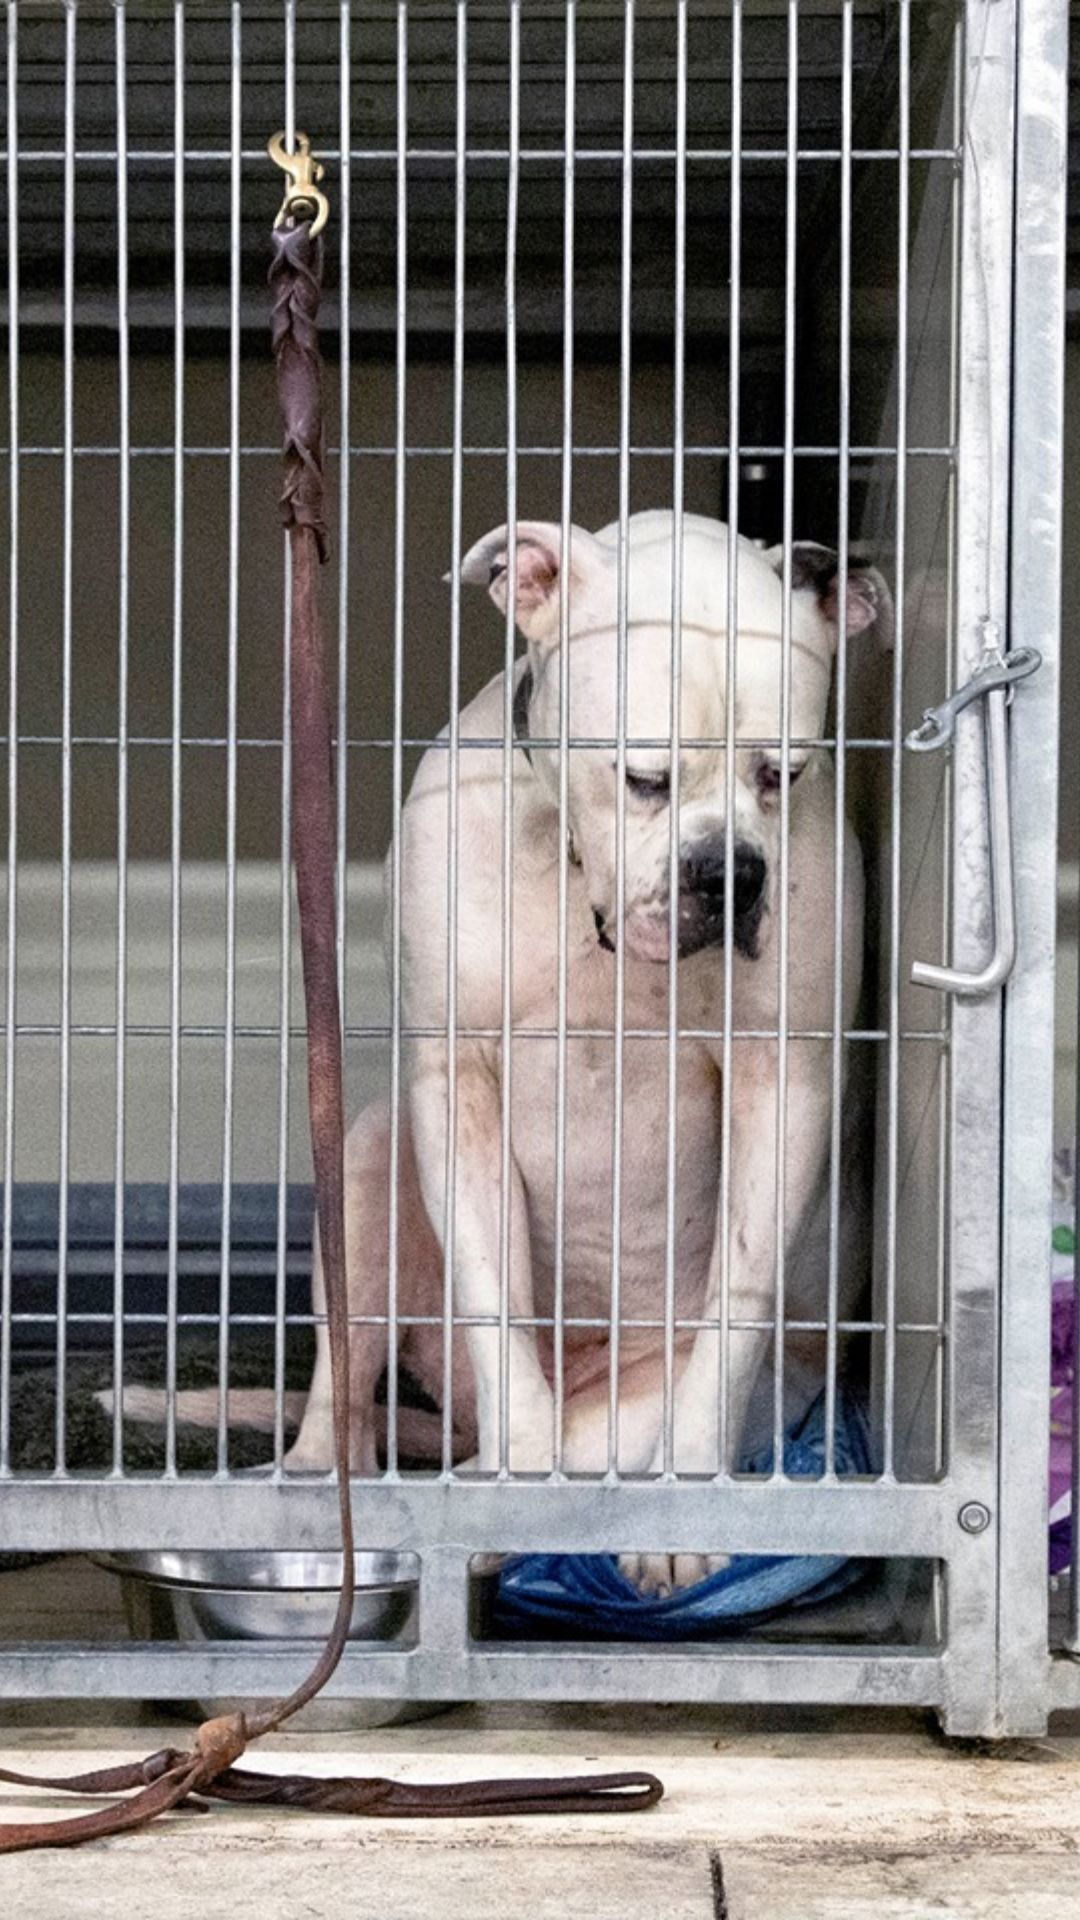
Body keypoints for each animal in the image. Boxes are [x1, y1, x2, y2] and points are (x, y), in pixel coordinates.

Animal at [280, 510, 890, 1596]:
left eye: (784, 775)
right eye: (643, 778)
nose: (727, 873)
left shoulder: (783, 1087)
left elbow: (734, 1314)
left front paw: (680, 1520)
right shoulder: (457, 1084)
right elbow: (497, 1303)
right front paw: (514, 1481)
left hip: (641, 1408)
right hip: (365, 1160)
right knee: (350, 1375)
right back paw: (329, 1480)